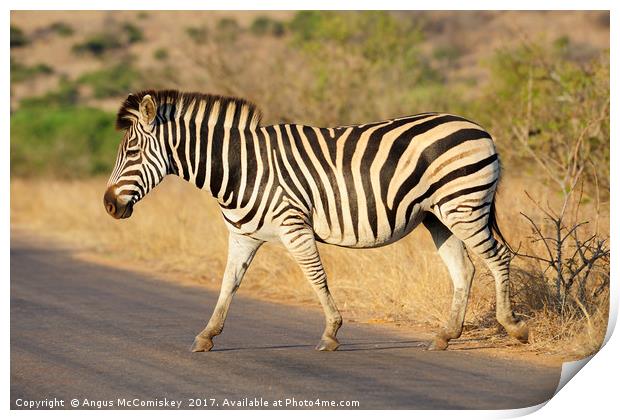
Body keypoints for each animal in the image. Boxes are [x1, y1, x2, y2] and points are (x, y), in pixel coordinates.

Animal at [103, 90, 528, 352]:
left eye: (133, 152)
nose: (108, 206)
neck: (241, 168)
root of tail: (479, 129)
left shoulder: (294, 226)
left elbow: (316, 277)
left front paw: (331, 333)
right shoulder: (242, 236)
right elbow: (228, 285)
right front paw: (207, 336)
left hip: (465, 205)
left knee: (499, 258)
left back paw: (514, 327)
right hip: (439, 216)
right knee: (465, 270)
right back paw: (445, 336)